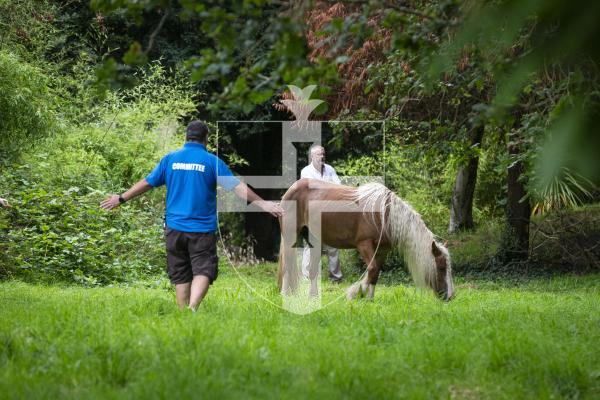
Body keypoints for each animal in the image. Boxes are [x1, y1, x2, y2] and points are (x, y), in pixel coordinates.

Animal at [276, 178, 454, 300]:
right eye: (441, 268)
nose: (451, 296)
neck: (385, 215)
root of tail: (291, 189)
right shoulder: (364, 245)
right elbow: (372, 269)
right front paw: (356, 293)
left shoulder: (382, 250)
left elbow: (376, 273)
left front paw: (369, 298)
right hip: (291, 237)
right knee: (287, 266)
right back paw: (285, 294)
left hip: (315, 240)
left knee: (312, 269)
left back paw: (313, 297)